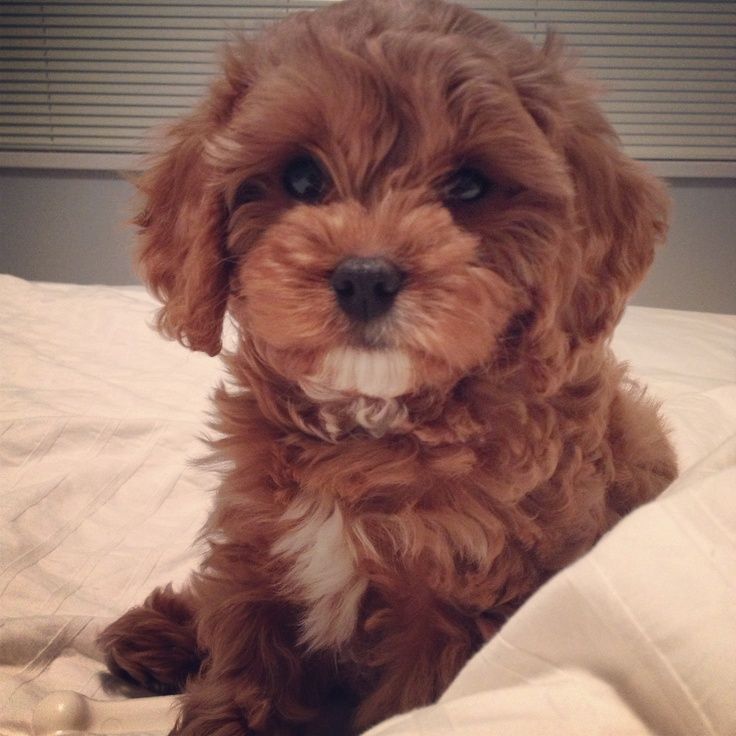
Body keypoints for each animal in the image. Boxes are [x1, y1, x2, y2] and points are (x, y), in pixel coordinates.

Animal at [99, 2, 680, 732]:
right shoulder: (262, 549)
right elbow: (245, 656)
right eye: (302, 179)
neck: (368, 423)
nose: (366, 277)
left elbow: (407, 703)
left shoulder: (451, 608)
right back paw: (158, 633)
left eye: (468, 185)